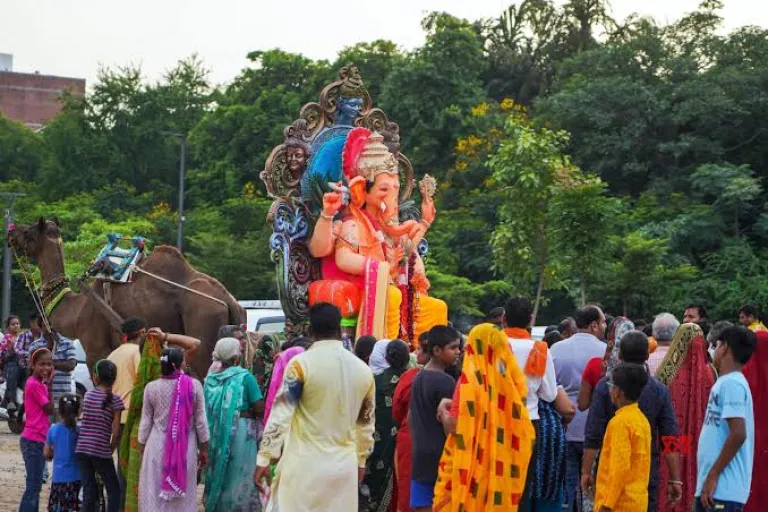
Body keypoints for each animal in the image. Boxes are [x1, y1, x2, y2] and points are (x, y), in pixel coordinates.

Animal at [8, 216, 243, 376]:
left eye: (28, 232)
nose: (11, 233)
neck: (76, 309)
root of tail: (228, 300)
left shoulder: (95, 347)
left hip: (203, 325)